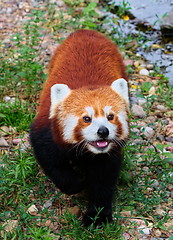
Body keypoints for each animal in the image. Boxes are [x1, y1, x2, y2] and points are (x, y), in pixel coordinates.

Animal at [29, 29, 129, 226]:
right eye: (86, 119)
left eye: (110, 117)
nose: (103, 131)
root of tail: (86, 31)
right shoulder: (47, 134)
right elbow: (54, 165)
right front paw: (79, 182)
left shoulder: (109, 154)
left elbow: (103, 180)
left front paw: (97, 216)